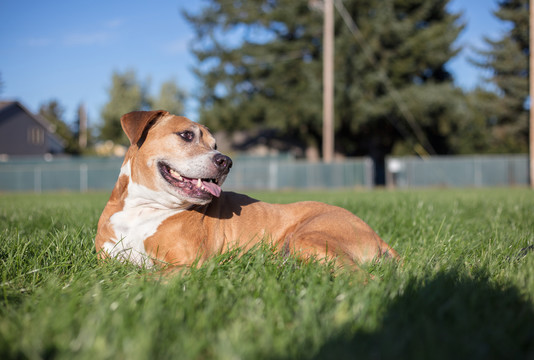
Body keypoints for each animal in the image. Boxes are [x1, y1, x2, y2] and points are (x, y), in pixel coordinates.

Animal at [95, 109, 398, 270]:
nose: (226, 161)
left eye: (215, 144)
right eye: (186, 135)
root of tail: (376, 235)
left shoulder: (185, 265)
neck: (143, 208)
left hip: (307, 238)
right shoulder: (105, 262)